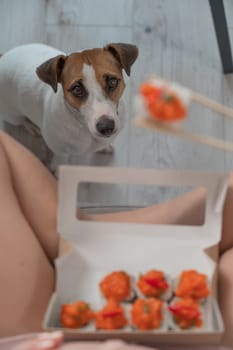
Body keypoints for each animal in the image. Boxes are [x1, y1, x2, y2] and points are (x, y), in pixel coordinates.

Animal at [0, 43, 138, 158]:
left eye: (112, 81)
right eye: (77, 89)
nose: (106, 127)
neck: (84, 127)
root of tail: (3, 57)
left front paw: (104, 147)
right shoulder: (59, 151)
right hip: (13, 115)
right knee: (22, 121)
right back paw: (31, 127)